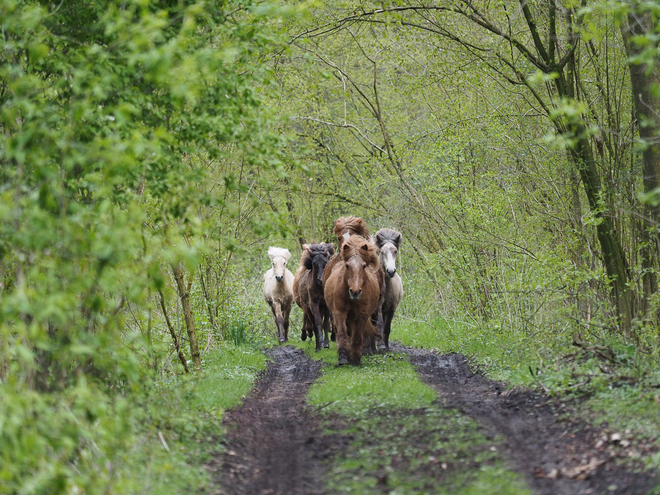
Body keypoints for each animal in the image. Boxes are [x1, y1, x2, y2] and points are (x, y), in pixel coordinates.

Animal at [322, 234, 378, 366]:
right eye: (347, 266)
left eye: (364, 266)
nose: (355, 291)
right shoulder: (339, 312)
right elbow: (342, 332)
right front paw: (343, 357)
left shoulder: (362, 314)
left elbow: (357, 335)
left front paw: (356, 358)